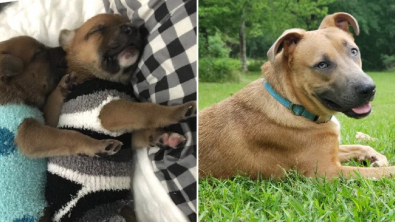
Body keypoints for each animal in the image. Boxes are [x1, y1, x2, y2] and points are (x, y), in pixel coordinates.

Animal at [0, 36, 122, 222]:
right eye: (39, 53)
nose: (64, 49)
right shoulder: (29, 135)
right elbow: (70, 135)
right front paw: (98, 145)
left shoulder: (43, 122)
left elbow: (52, 104)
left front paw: (62, 86)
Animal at [43, 13, 196, 222]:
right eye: (97, 30)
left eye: (128, 23)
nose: (132, 28)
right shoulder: (110, 111)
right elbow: (147, 110)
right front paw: (177, 111)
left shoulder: (127, 134)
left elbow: (143, 130)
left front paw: (164, 137)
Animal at [201, 12, 395, 180]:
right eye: (322, 65)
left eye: (354, 51)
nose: (369, 89)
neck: (292, 105)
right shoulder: (327, 171)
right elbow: (384, 172)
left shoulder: (332, 151)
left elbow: (359, 146)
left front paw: (375, 157)